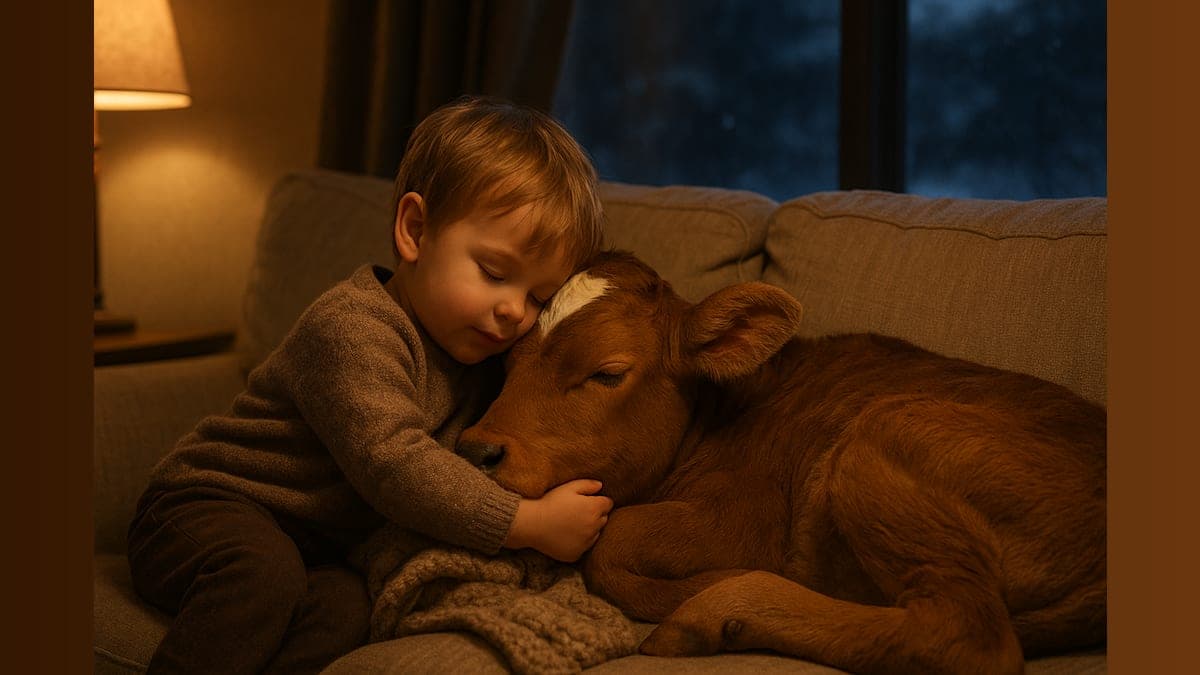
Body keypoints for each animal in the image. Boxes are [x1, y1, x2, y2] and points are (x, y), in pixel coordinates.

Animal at [456, 250, 1106, 675]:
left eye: (608, 373)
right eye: (508, 361)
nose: (475, 449)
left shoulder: (744, 517)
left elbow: (612, 542)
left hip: (885, 437)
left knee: (964, 638)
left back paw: (716, 612)